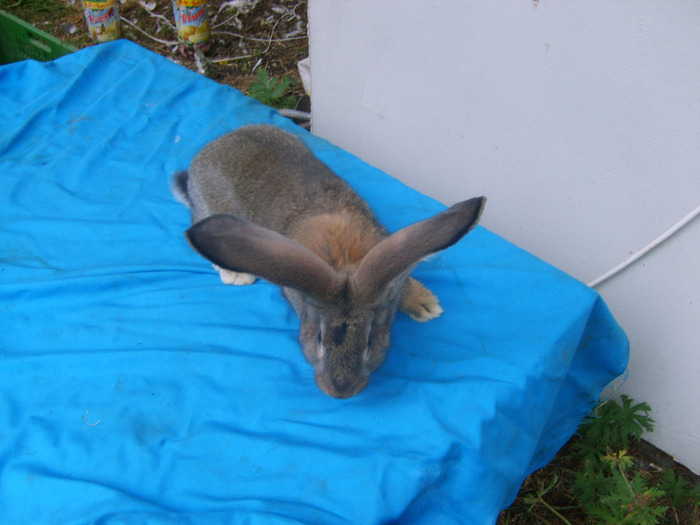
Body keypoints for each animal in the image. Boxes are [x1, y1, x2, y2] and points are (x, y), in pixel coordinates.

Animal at [172, 126, 484, 398]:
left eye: (369, 341)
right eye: (319, 339)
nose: (340, 393)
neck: (343, 259)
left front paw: (425, 304)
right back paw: (235, 274)